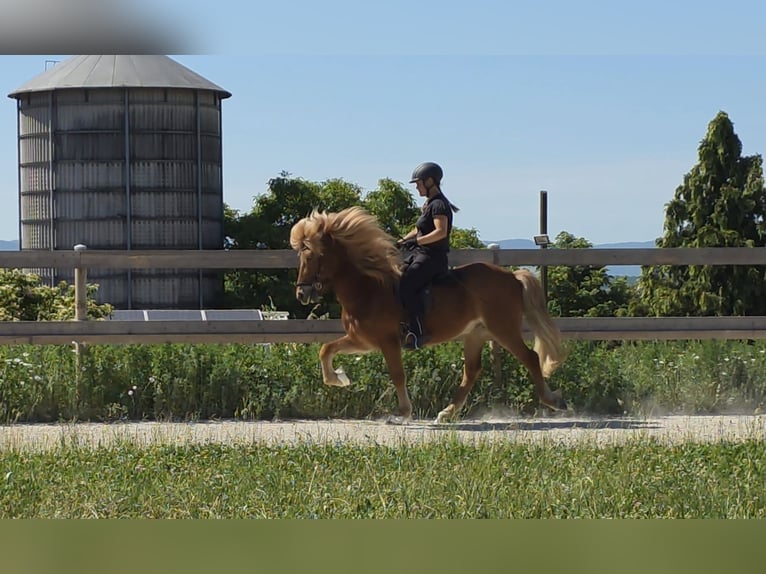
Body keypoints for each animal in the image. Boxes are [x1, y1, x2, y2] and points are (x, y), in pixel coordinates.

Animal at [289, 206, 568, 424]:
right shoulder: (363, 341)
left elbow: (397, 374)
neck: (368, 288)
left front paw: (402, 412)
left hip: (503, 329)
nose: (302, 294)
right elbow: (326, 349)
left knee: (530, 357)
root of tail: (512, 276)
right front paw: (339, 378)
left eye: (314, 256)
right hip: (476, 334)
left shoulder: (388, 342)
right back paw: (446, 413)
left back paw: (553, 401)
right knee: (472, 371)